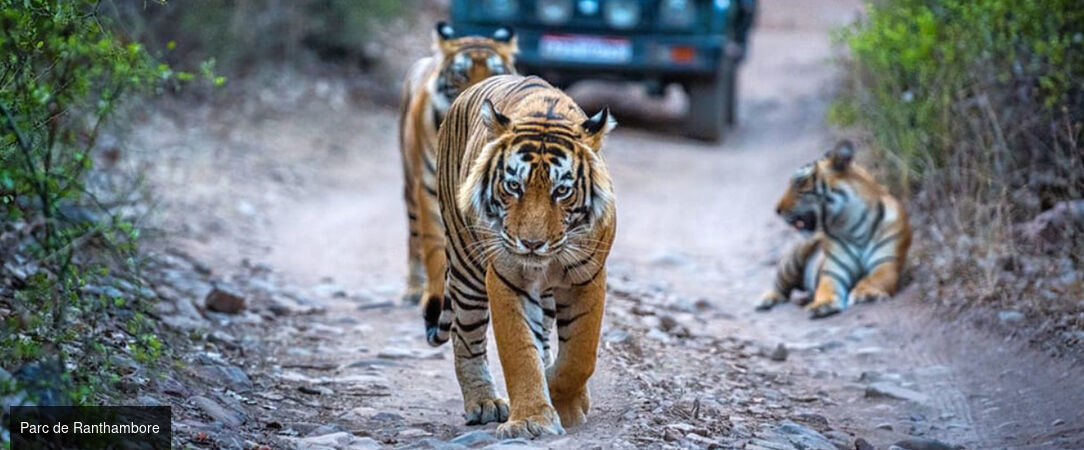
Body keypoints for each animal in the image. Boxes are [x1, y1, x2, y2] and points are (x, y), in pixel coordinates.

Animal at [399, 22, 518, 307]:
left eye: (495, 72)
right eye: (461, 74)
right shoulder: (429, 188)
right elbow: (433, 246)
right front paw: (434, 294)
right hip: (410, 184)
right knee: (414, 236)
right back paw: (412, 289)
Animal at [426, 74, 617, 439]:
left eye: (562, 191)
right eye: (514, 186)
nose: (531, 243)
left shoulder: (588, 276)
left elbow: (580, 354)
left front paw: (564, 400)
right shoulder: (506, 278)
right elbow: (520, 352)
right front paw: (531, 419)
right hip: (466, 265)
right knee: (466, 337)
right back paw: (484, 403)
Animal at [756, 140, 912, 318]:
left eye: (799, 182)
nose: (777, 209)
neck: (852, 224)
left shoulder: (886, 263)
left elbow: (873, 278)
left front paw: (865, 293)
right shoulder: (833, 271)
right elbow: (826, 288)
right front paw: (822, 304)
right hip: (795, 256)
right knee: (780, 286)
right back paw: (766, 300)